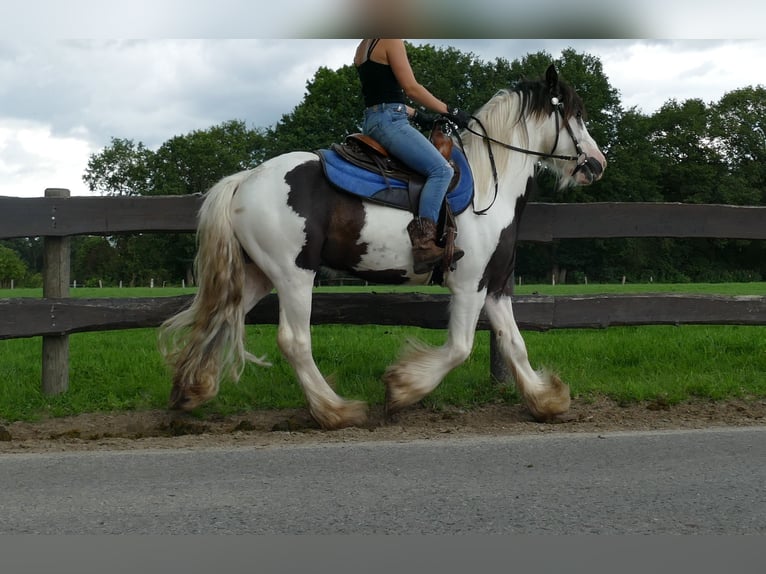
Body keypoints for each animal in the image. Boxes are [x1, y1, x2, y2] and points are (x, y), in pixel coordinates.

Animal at [159, 65, 608, 430]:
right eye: (576, 115)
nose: (597, 164)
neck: (487, 188)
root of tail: (245, 179)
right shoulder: (468, 285)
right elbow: (460, 348)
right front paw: (402, 388)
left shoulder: (494, 285)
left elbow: (514, 343)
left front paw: (546, 401)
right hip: (293, 274)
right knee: (294, 341)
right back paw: (336, 411)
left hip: (258, 274)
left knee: (222, 317)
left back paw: (190, 392)